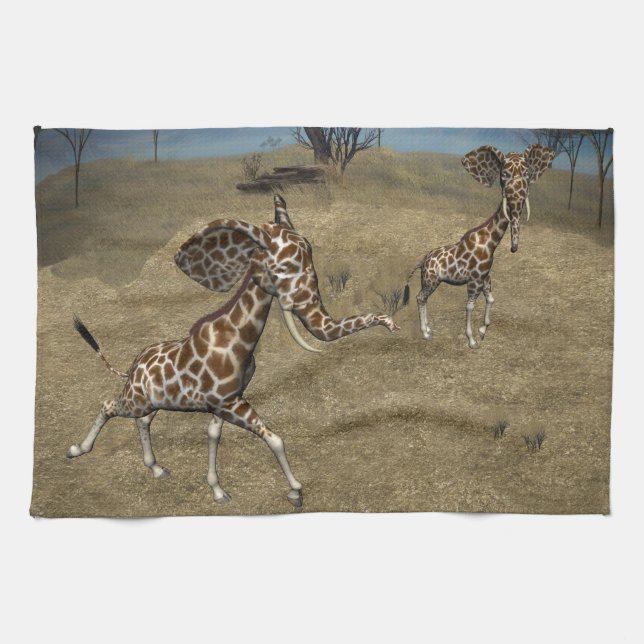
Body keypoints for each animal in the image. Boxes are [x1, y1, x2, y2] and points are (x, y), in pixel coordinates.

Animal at [67, 195, 399, 508]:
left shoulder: (225, 402)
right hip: (136, 399)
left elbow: (214, 436)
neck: (239, 340)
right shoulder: (229, 402)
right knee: (108, 404)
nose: (392, 324)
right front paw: (296, 493)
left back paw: (158, 469)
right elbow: (275, 438)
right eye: (284, 268)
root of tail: (132, 366)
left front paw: (218, 493)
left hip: (152, 401)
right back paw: (76, 450)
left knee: (143, 420)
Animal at [404, 144, 555, 349]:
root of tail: (422, 261)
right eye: (504, 173)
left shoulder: (485, 277)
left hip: (431, 281)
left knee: (423, 298)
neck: (491, 243)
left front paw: (483, 331)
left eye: (527, 173)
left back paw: (428, 329)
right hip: (430, 280)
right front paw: (472, 340)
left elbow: (491, 299)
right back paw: (425, 334)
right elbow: (469, 306)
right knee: (420, 297)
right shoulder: (474, 280)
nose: (514, 248)